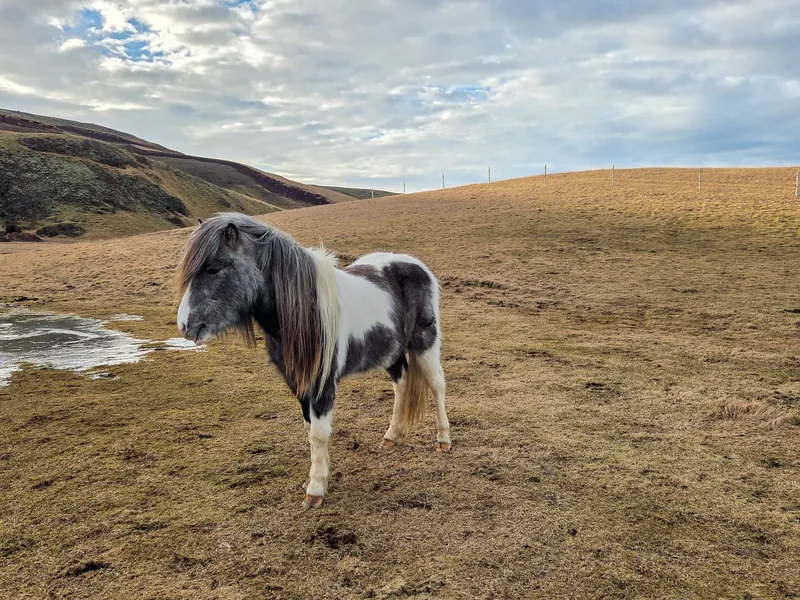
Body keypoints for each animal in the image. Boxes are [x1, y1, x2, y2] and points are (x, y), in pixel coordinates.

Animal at [175, 212, 451, 508]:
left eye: (213, 268)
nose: (184, 325)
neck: (306, 313)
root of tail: (418, 266)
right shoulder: (298, 382)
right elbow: (310, 431)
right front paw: (319, 476)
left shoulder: (322, 383)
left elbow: (318, 433)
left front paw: (316, 489)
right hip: (392, 353)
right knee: (401, 386)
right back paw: (391, 437)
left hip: (425, 343)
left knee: (437, 385)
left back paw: (443, 440)